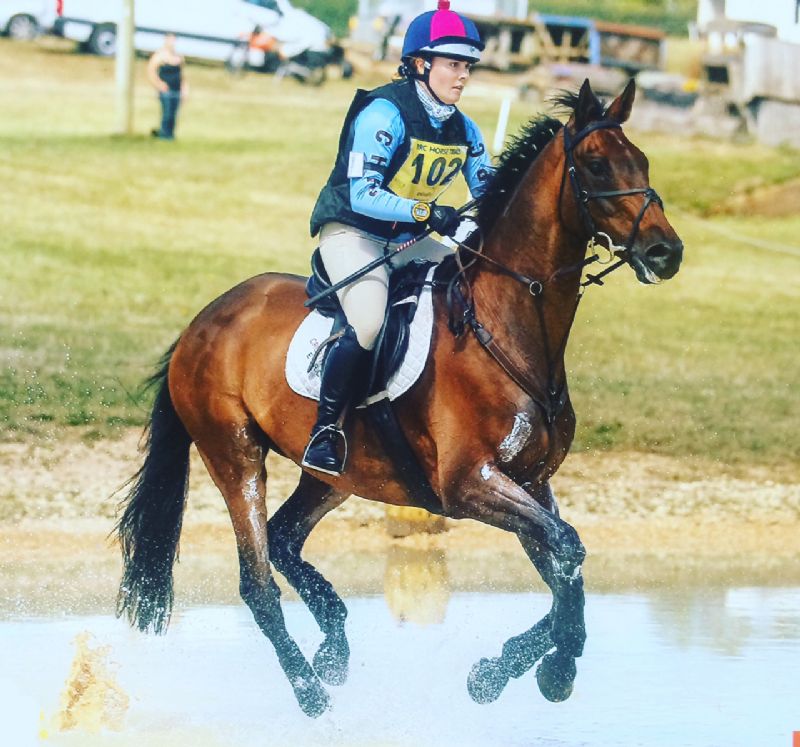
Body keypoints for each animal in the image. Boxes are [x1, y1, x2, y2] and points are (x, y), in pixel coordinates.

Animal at [115, 77, 684, 720]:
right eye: (595, 165)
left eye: (642, 161)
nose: (667, 252)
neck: (508, 324)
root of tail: (202, 321)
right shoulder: (469, 484)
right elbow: (568, 550)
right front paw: (553, 667)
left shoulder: (530, 482)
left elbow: (568, 566)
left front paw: (503, 672)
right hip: (234, 455)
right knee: (257, 581)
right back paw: (309, 690)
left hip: (337, 474)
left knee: (285, 539)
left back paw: (334, 647)